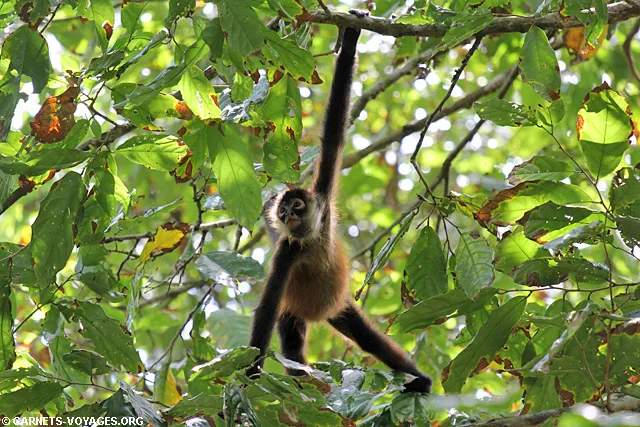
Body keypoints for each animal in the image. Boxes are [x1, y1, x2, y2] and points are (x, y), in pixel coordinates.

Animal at [247, 10, 432, 394]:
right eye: (284, 212)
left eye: (295, 207)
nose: (285, 214)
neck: (313, 238)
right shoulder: (287, 252)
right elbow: (267, 308)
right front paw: (247, 379)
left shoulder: (324, 200)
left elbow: (333, 133)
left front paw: (349, 42)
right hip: (294, 313)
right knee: (292, 341)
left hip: (341, 307)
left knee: (365, 336)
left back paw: (417, 380)